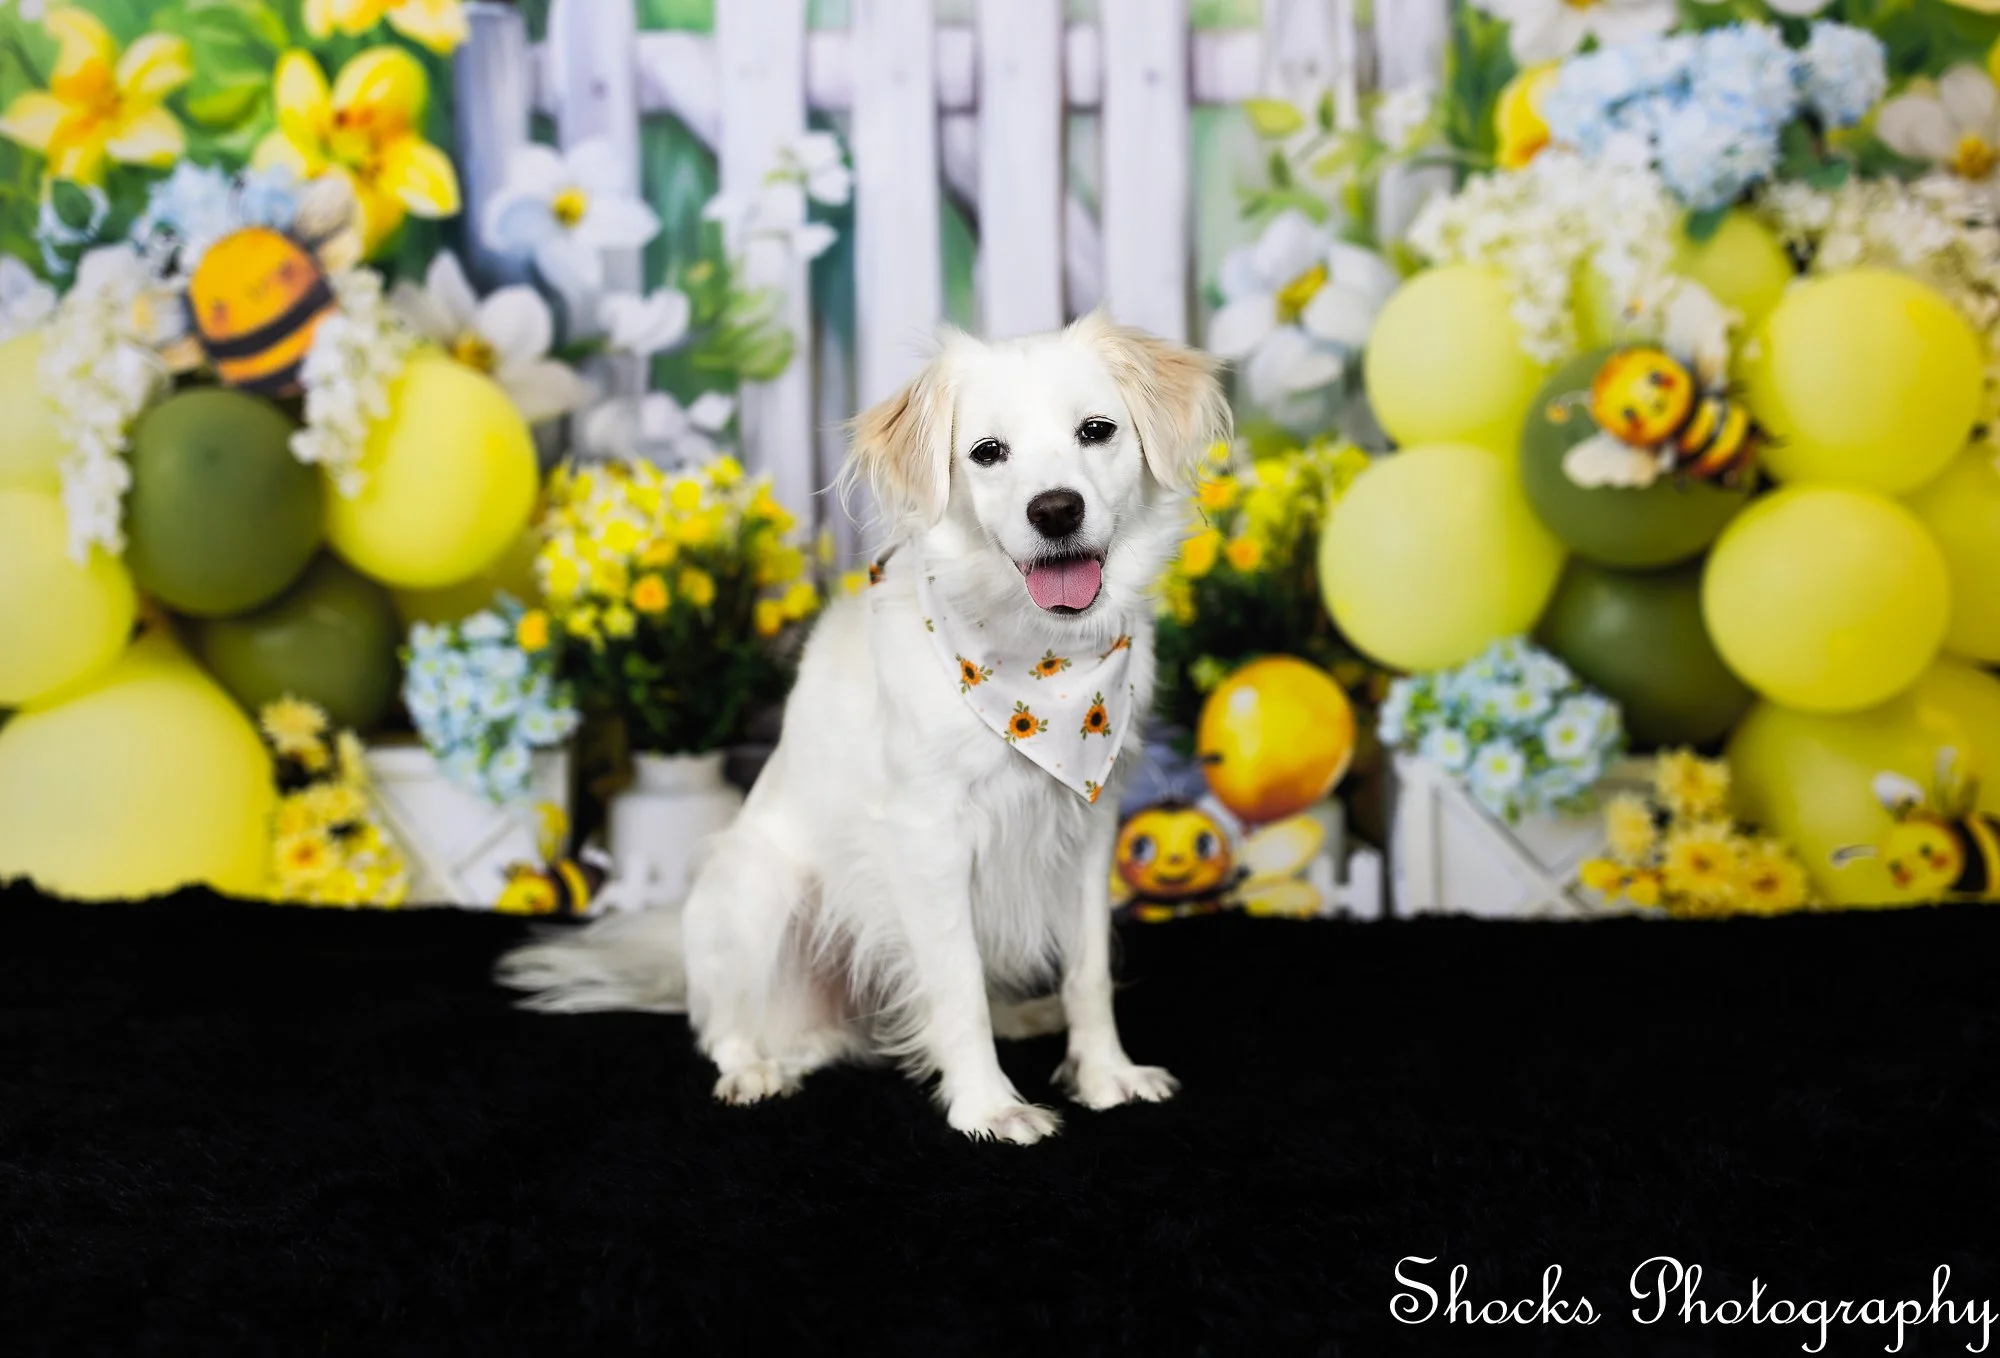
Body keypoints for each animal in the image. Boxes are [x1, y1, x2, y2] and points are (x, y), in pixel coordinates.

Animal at [496, 310, 1230, 1145]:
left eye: (1096, 431)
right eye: (988, 453)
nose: (1055, 510)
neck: (1041, 665)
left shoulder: (1086, 826)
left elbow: (1088, 973)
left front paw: (1105, 1075)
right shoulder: (928, 837)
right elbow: (956, 986)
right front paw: (988, 1106)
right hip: (757, 888)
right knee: (728, 1027)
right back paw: (754, 1069)